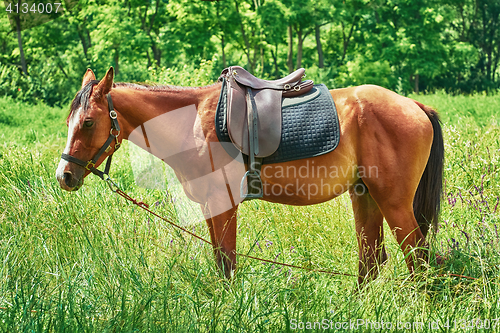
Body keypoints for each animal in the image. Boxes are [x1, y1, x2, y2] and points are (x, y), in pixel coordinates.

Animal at [55, 67, 446, 282]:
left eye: (87, 122)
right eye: (69, 120)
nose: (65, 175)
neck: (192, 125)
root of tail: (415, 106)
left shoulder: (223, 204)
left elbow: (227, 263)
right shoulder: (211, 207)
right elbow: (220, 261)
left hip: (394, 203)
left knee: (417, 258)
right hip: (365, 196)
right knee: (372, 261)